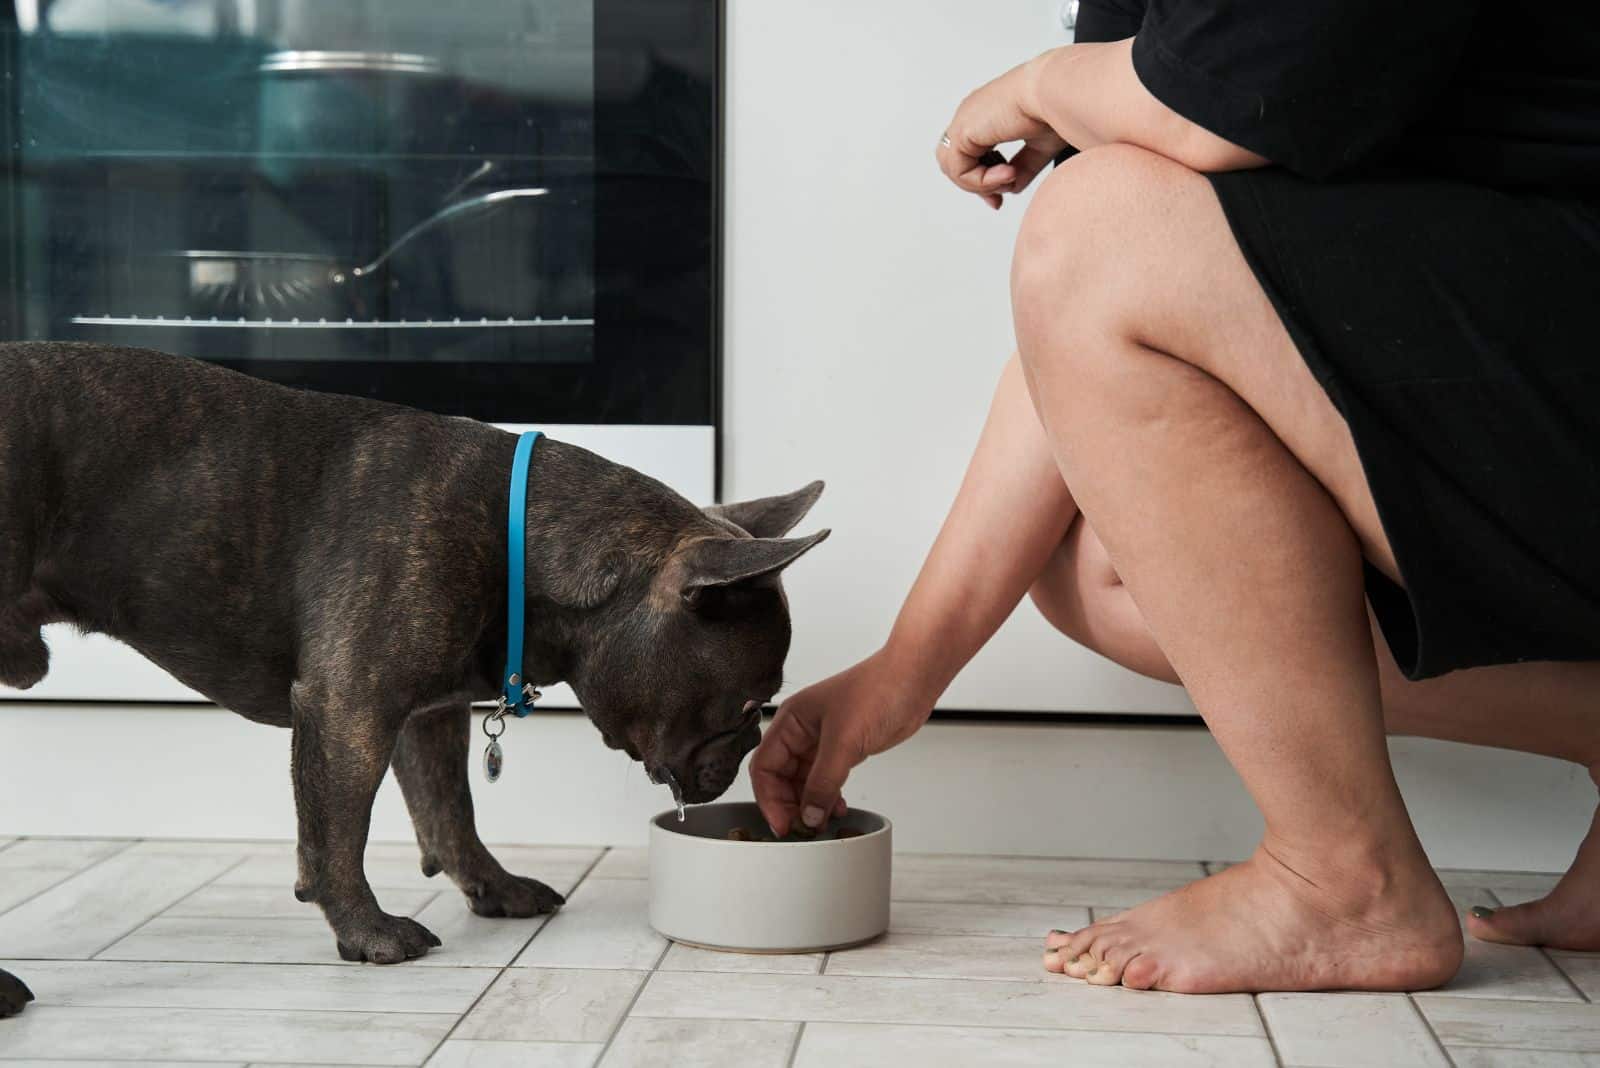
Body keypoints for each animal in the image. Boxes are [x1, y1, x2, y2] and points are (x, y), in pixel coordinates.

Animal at [0, 343, 825, 1016]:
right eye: (750, 704)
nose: (746, 753)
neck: (520, 539)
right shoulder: (350, 708)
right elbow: (339, 832)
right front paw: (368, 931)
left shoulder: (428, 716)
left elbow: (449, 809)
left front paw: (494, 887)